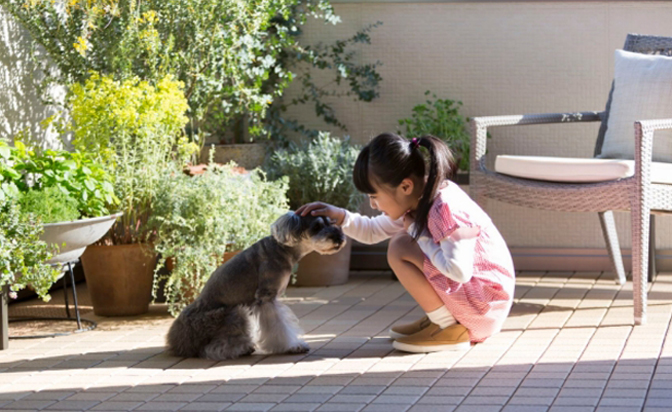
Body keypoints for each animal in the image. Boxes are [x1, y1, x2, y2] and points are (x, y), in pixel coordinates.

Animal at [165, 212, 344, 360]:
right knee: (212, 348)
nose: (340, 238)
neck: (282, 249)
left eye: (332, 222)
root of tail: (177, 343)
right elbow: (279, 326)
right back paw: (241, 348)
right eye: (316, 226)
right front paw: (292, 346)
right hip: (235, 312)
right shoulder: (267, 298)